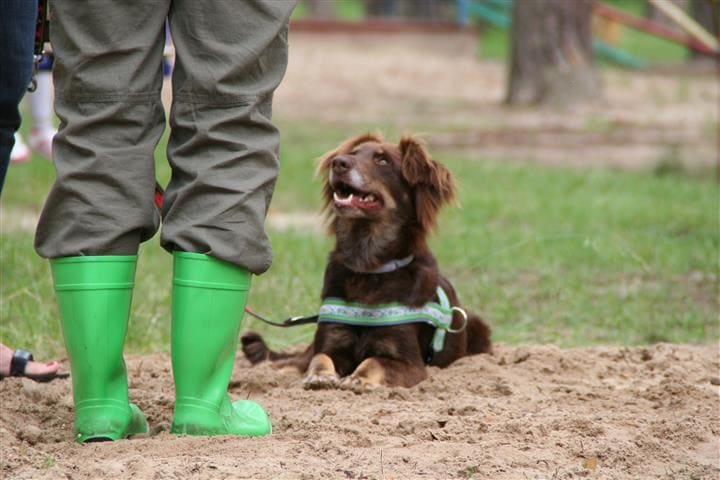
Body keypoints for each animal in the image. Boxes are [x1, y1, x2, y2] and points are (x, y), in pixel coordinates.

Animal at [240, 133, 490, 388]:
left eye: (383, 160)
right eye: (352, 154)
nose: (338, 163)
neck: (368, 268)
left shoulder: (411, 364)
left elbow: (374, 361)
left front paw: (357, 379)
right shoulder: (332, 340)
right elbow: (320, 357)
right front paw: (319, 375)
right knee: (294, 360)